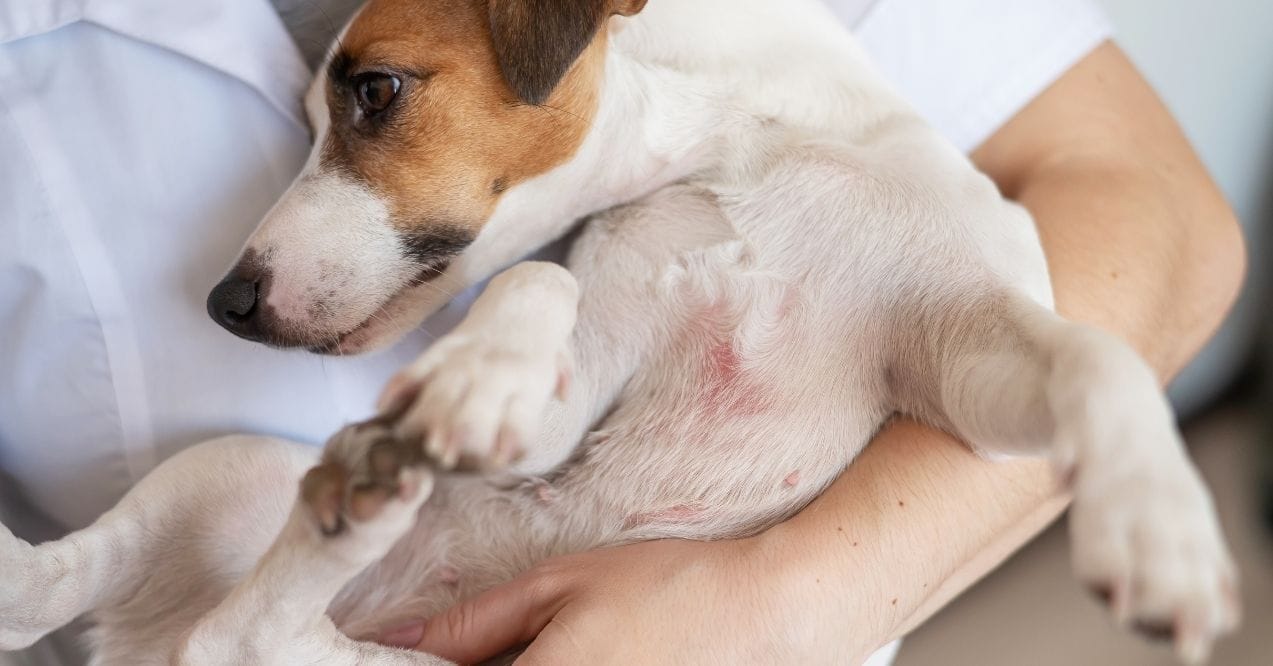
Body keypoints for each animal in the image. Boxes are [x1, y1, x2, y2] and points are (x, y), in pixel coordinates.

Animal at [0, 0, 1237, 662]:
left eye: (375, 91)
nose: (227, 302)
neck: (748, 148)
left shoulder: (966, 358)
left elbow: (1098, 359)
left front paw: (1154, 521)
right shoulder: (583, 359)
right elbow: (537, 290)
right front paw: (484, 370)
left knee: (234, 632)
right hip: (234, 475)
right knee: (124, 603)